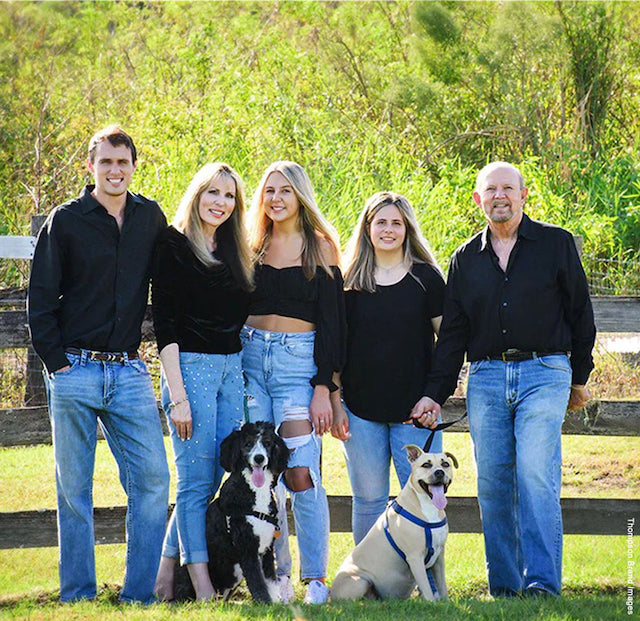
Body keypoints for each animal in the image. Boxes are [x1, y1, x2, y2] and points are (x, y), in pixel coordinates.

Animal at [172, 422, 288, 600]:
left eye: (267, 443)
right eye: (248, 444)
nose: (259, 458)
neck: (254, 493)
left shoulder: (267, 548)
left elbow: (270, 581)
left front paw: (277, 603)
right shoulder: (247, 547)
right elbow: (258, 583)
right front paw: (264, 603)